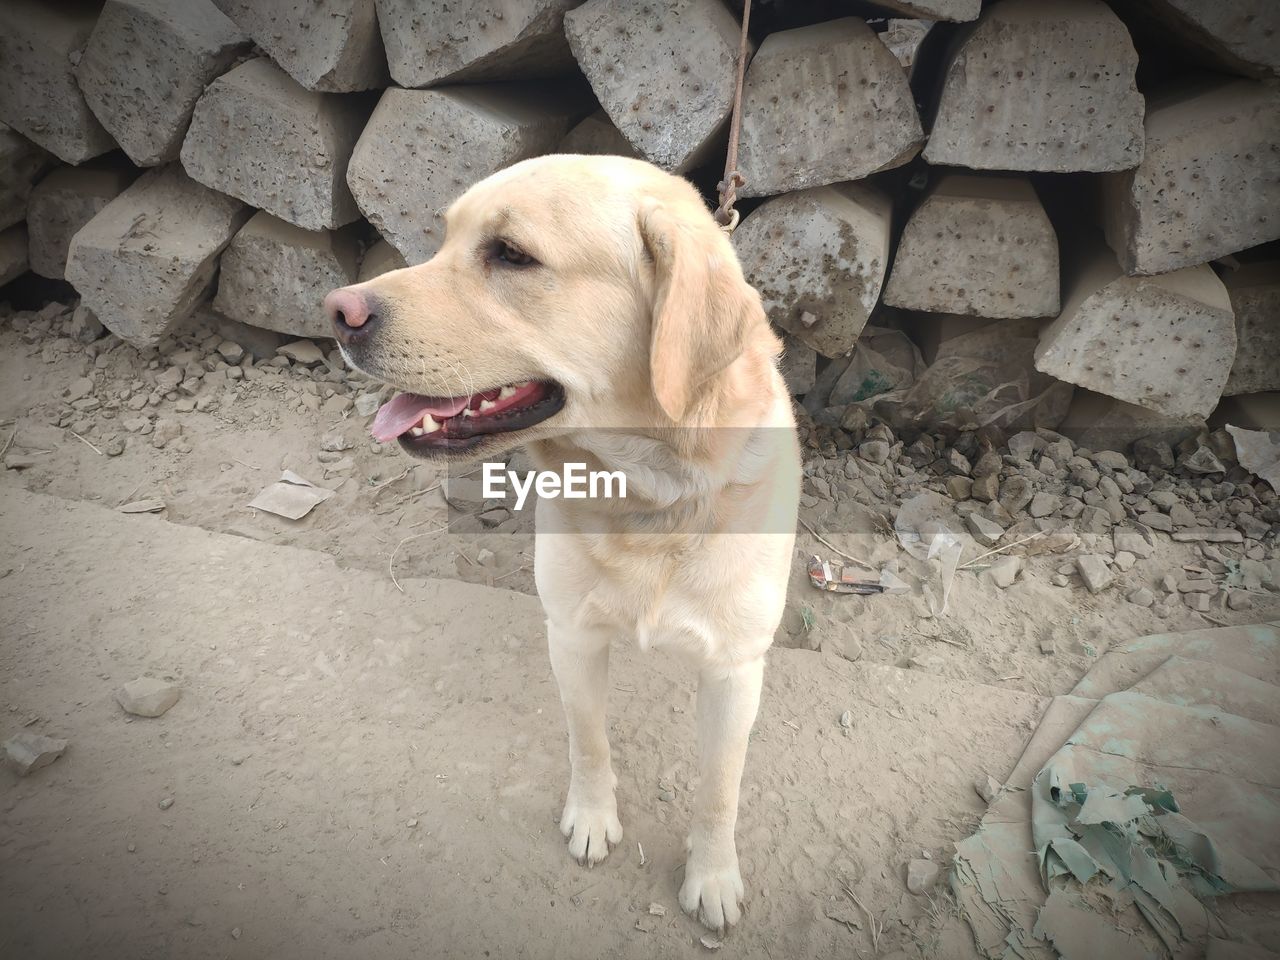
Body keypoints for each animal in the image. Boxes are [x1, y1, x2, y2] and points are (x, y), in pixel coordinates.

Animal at [325, 156, 793, 931]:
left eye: (512, 255)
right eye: (444, 240)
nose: (336, 311)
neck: (646, 499)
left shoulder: (735, 668)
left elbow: (719, 791)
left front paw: (714, 875)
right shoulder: (572, 635)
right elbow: (589, 741)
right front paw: (593, 819)